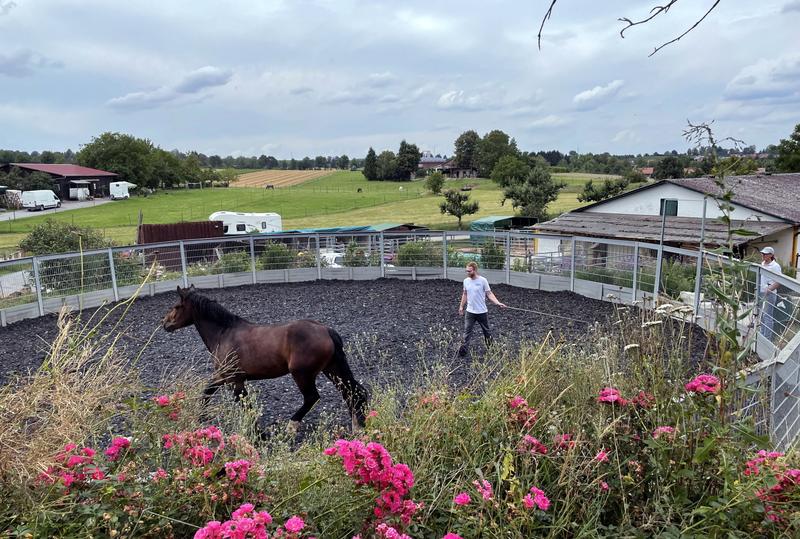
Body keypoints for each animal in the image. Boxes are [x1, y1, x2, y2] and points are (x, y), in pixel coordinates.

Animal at [162, 286, 368, 430]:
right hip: (332, 369)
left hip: (302, 374)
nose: (164, 323)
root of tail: (326, 330)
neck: (224, 333)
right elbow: (207, 392)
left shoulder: (235, 380)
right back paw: (358, 426)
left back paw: (291, 427)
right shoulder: (223, 376)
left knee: (312, 397)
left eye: (177, 306)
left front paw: (259, 434)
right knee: (353, 392)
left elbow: (245, 405)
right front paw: (199, 419)